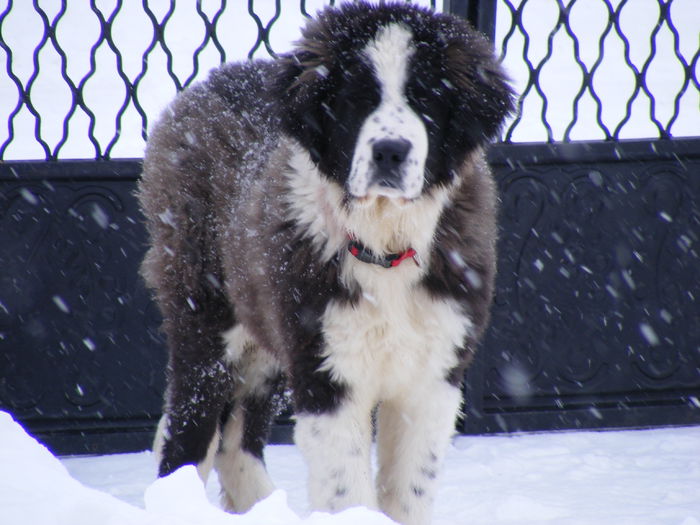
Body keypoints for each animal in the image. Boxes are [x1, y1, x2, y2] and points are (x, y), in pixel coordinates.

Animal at [137, 2, 512, 520]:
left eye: (427, 100)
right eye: (357, 99)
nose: (390, 151)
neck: (384, 247)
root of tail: (211, 82)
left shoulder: (434, 376)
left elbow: (408, 491)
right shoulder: (326, 374)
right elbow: (346, 489)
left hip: (270, 336)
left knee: (235, 441)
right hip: (204, 317)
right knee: (188, 432)